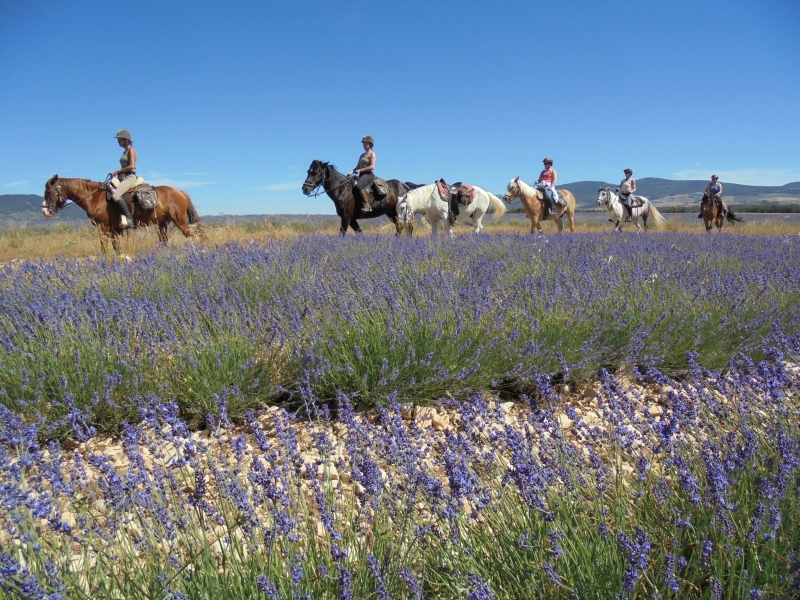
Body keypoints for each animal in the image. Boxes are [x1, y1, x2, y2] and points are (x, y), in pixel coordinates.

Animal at [41, 173, 202, 251]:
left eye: (49, 192)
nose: (45, 212)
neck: (94, 197)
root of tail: (179, 192)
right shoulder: (114, 230)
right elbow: (116, 248)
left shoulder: (103, 228)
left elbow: (105, 248)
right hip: (162, 223)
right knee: (164, 242)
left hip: (180, 221)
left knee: (192, 237)